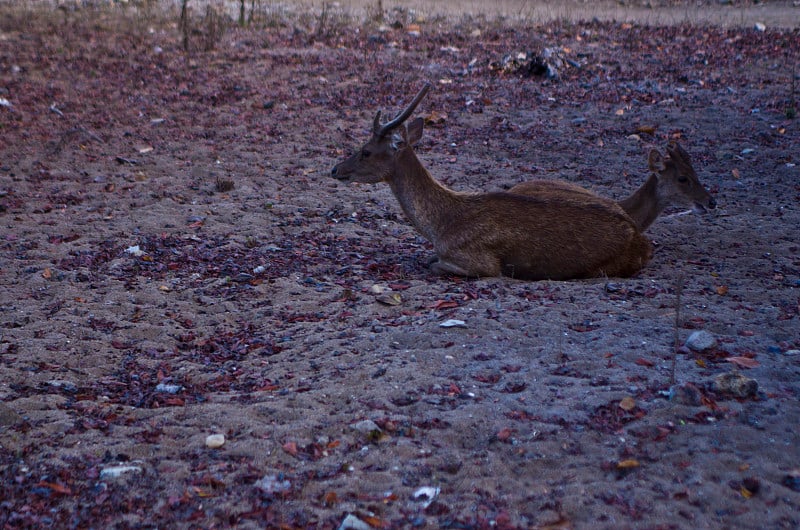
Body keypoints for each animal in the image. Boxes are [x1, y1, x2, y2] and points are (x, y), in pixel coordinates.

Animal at [328, 83, 652, 280]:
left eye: (366, 151)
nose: (335, 169)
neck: (441, 226)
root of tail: (643, 243)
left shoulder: (479, 261)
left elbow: (433, 264)